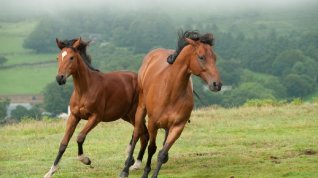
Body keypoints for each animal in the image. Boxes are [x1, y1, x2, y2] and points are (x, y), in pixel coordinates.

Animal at [44, 38, 148, 177]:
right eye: (58, 58)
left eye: (71, 57)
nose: (60, 78)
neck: (84, 90)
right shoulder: (74, 117)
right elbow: (63, 143)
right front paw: (51, 171)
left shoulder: (95, 117)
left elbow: (80, 137)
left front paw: (86, 160)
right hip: (126, 115)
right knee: (143, 133)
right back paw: (133, 162)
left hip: (134, 113)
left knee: (142, 133)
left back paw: (133, 162)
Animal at [120, 31, 222, 178]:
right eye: (201, 57)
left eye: (215, 58)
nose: (217, 84)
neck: (170, 91)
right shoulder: (153, 123)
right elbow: (152, 148)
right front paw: (145, 173)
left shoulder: (178, 126)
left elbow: (162, 153)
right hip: (140, 110)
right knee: (137, 135)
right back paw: (125, 169)